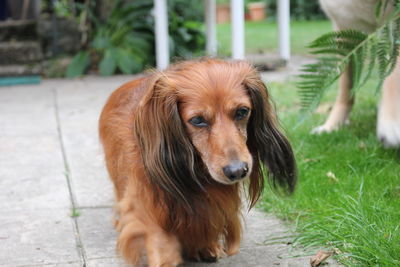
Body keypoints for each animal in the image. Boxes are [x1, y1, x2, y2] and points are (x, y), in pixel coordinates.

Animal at [98, 58, 296, 266]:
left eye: (242, 111)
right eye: (198, 120)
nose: (237, 171)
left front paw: (204, 246)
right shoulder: (146, 201)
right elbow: (158, 236)